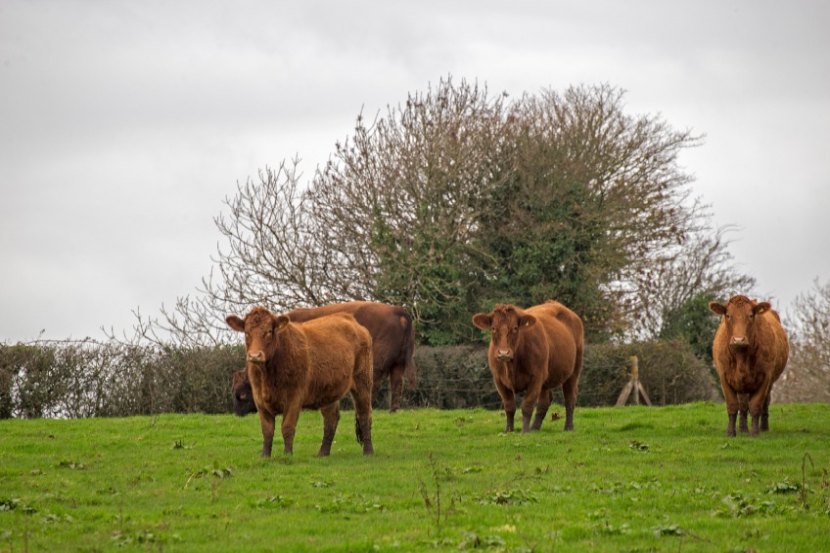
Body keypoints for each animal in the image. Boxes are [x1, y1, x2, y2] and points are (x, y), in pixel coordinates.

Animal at [224, 306, 374, 458]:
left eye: (269, 332)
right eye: (246, 333)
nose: (255, 355)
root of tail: (349, 318)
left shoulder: (294, 397)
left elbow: (287, 427)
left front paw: (287, 454)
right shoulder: (260, 400)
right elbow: (267, 430)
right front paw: (265, 456)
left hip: (363, 382)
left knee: (364, 415)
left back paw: (368, 451)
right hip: (329, 390)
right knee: (331, 419)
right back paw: (322, 453)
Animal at [232, 300, 416, 412]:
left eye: (242, 395)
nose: (238, 413)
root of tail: (398, 311)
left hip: (374, 364)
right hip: (399, 364)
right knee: (397, 384)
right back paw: (393, 410)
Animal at [474, 302, 584, 432]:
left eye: (515, 328)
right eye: (493, 329)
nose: (503, 353)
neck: (511, 366)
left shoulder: (536, 377)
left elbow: (527, 405)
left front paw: (525, 431)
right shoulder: (498, 379)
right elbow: (509, 406)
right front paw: (509, 430)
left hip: (574, 370)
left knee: (569, 397)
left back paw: (568, 426)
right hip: (546, 377)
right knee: (545, 401)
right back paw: (535, 428)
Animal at [712, 294, 788, 436]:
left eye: (751, 315)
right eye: (728, 315)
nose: (738, 340)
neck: (741, 357)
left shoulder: (765, 377)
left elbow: (756, 405)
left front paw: (754, 432)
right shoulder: (724, 376)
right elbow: (732, 405)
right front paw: (731, 432)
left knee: (764, 402)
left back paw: (763, 427)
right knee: (743, 405)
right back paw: (743, 429)